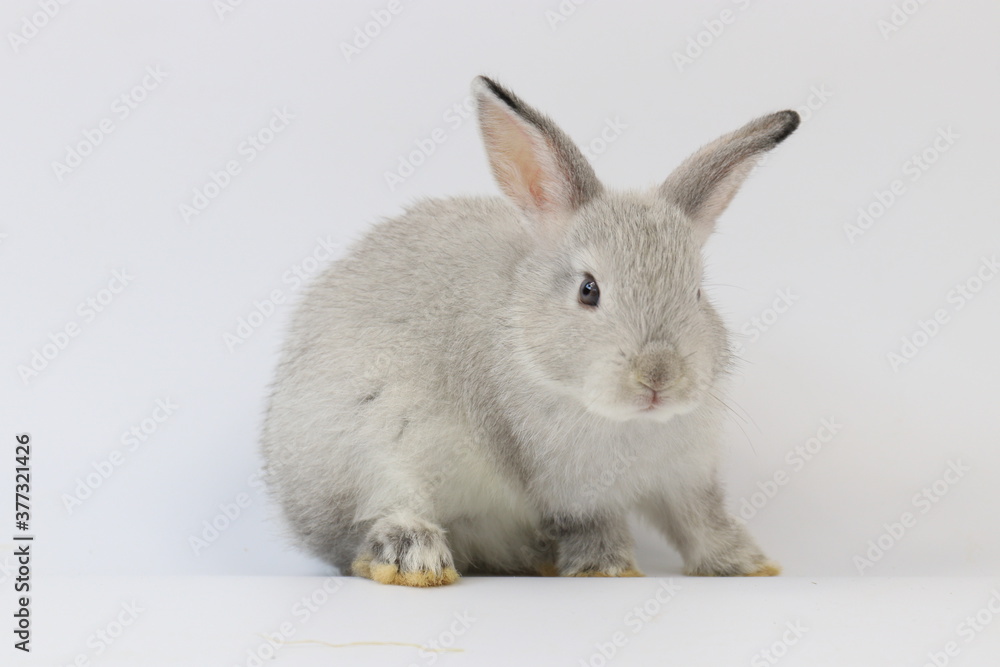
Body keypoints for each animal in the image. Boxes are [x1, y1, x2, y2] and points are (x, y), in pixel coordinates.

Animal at [260, 75, 799, 587]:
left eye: (697, 293)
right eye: (588, 290)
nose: (658, 376)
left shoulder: (685, 479)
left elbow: (703, 523)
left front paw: (748, 567)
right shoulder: (570, 489)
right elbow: (596, 524)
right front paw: (608, 571)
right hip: (371, 442)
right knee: (369, 526)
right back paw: (416, 560)